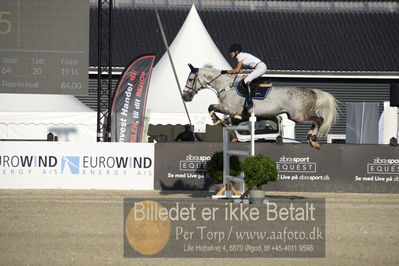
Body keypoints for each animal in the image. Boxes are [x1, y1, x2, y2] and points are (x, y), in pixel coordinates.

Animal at [183, 63, 340, 149]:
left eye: (190, 79)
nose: (185, 97)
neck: (226, 86)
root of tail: (312, 91)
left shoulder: (229, 108)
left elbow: (211, 107)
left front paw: (216, 120)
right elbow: (215, 110)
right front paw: (222, 122)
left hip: (299, 116)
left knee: (319, 120)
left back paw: (312, 139)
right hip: (297, 116)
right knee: (317, 120)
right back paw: (310, 139)